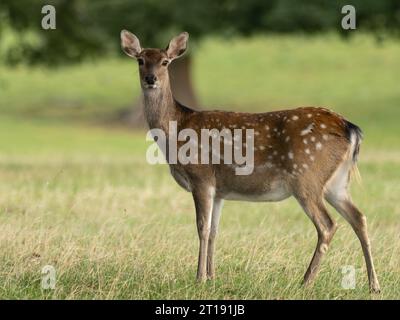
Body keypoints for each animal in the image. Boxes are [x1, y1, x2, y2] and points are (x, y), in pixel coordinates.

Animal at [121, 30, 382, 292]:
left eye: (165, 62)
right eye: (141, 60)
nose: (151, 78)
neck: (176, 131)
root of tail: (350, 128)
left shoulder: (201, 176)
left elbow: (202, 228)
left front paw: (199, 278)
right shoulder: (219, 189)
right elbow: (214, 231)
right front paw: (212, 278)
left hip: (306, 177)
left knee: (328, 225)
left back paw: (305, 281)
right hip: (336, 183)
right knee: (359, 218)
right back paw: (374, 285)